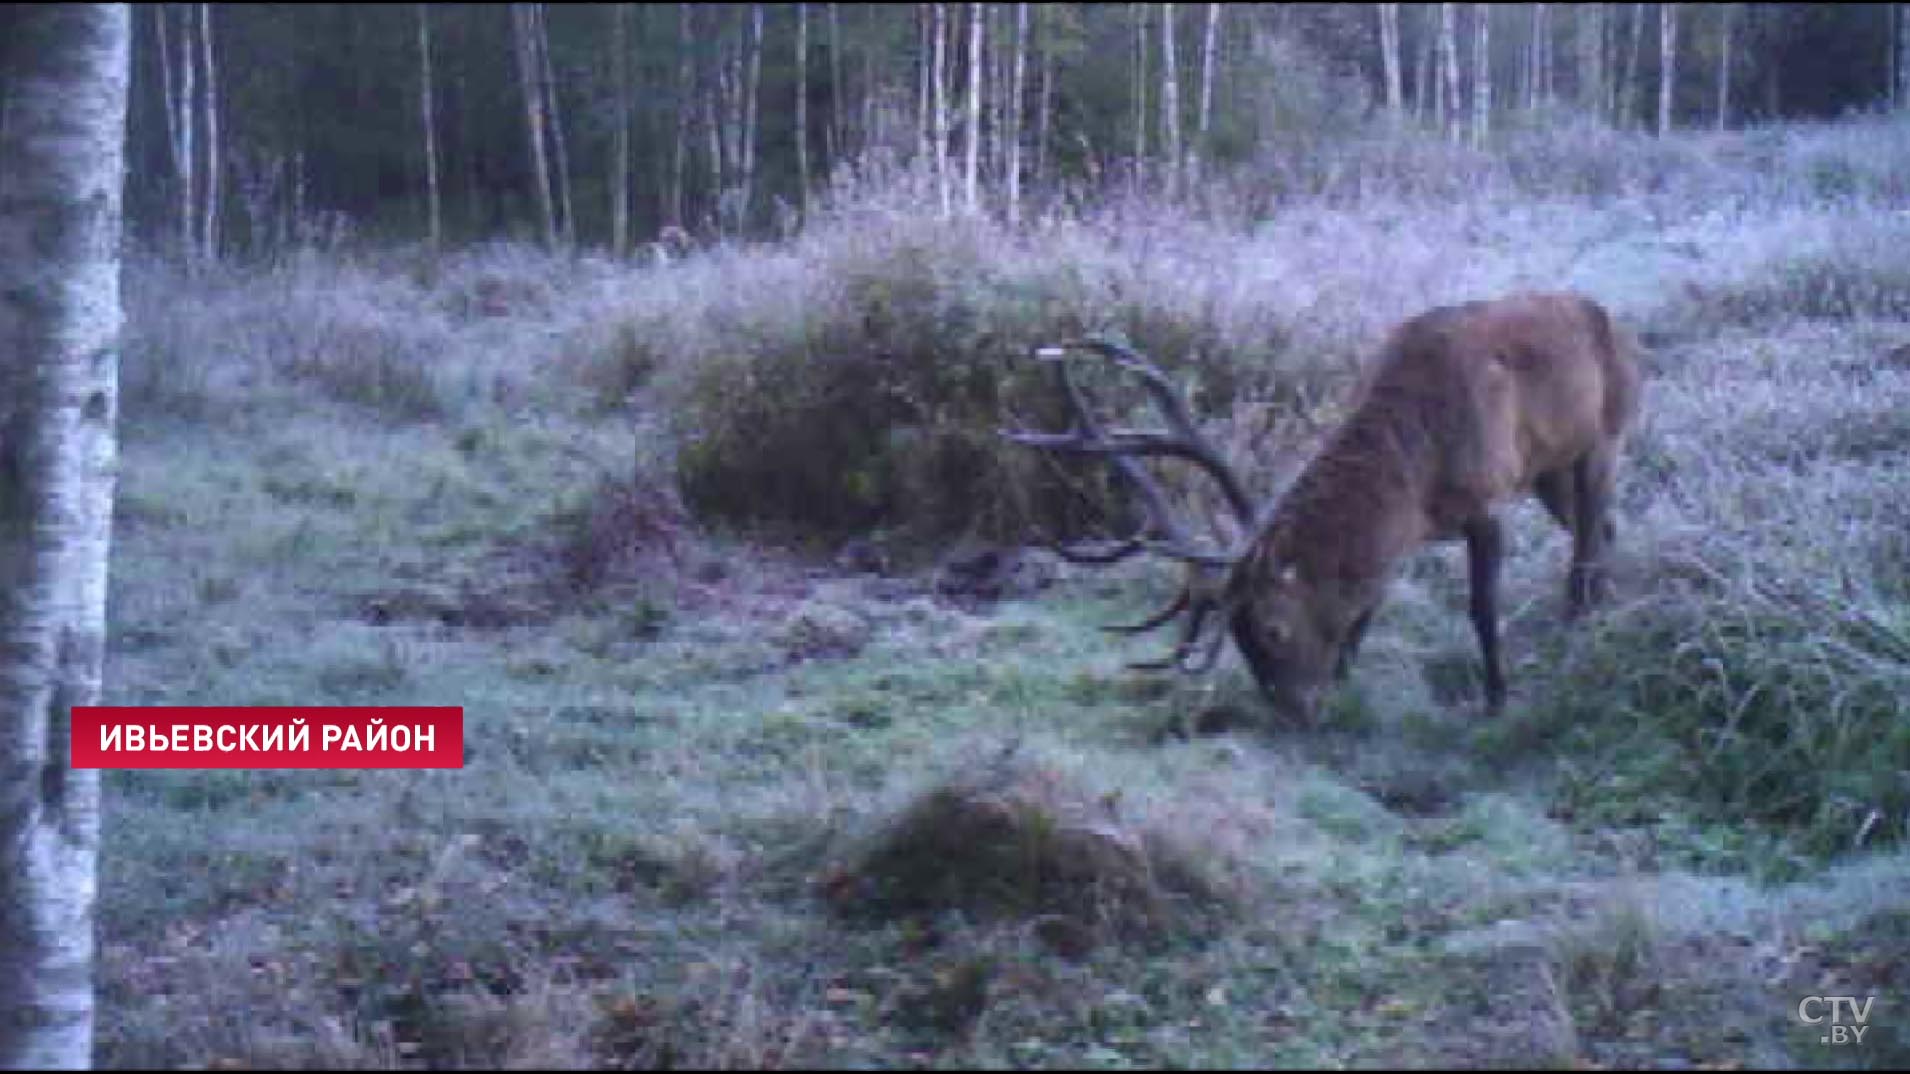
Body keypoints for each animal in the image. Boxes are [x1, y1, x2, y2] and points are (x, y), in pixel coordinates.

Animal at [1000, 292, 1642, 722]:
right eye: (1238, 637)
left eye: (1273, 629)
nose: (1294, 710)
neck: (1417, 472)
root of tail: (1618, 325)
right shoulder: (1411, 530)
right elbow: (1369, 598)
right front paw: (1347, 671)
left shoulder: (1485, 498)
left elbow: (1481, 607)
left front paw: (1496, 698)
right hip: (1550, 468)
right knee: (1605, 526)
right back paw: (1603, 605)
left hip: (1607, 433)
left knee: (1589, 535)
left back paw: (1578, 619)